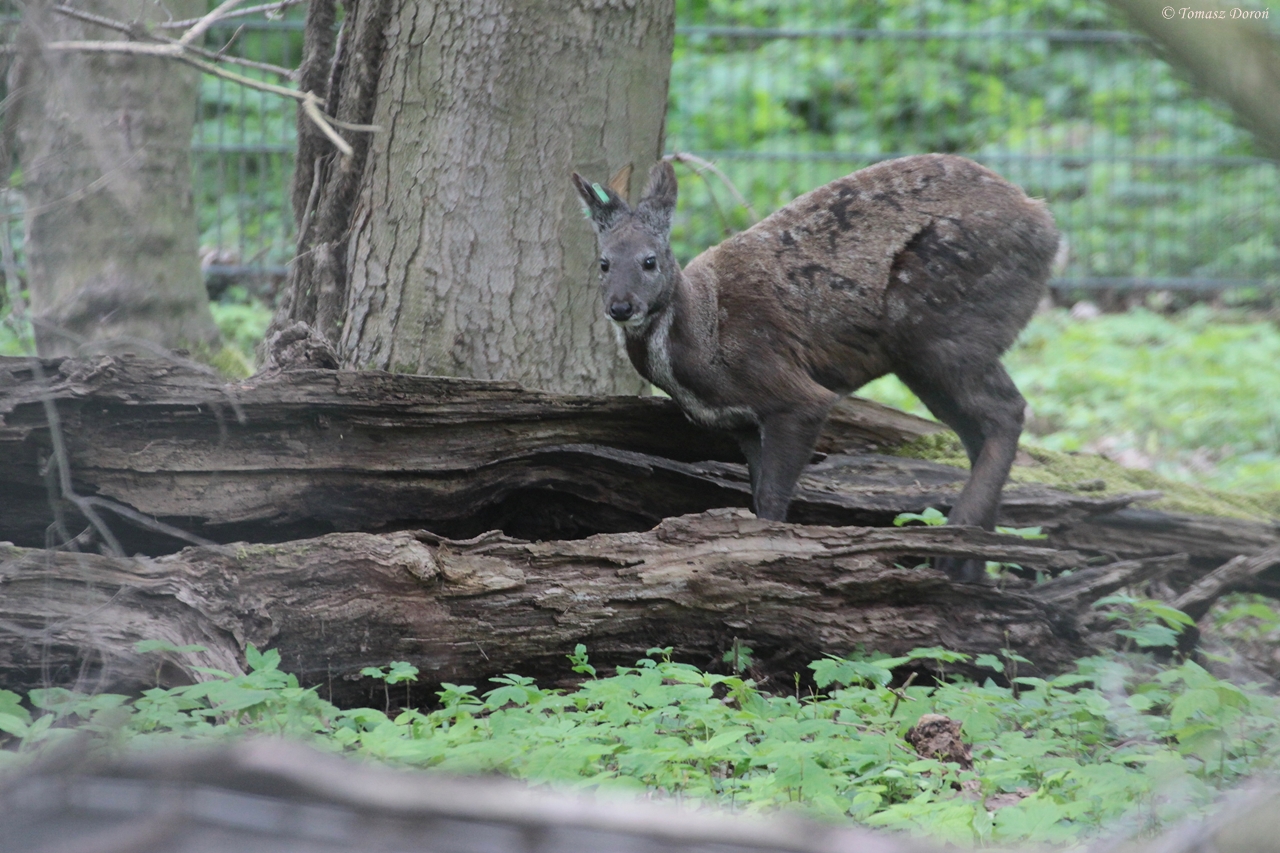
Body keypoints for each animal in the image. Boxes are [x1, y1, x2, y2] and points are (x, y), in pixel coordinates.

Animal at [571, 154, 1060, 582]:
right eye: (603, 262)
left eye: (650, 260)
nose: (621, 306)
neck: (705, 347)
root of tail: (1047, 223)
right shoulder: (742, 422)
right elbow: (756, 492)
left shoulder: (791, 392)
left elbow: (772, 497)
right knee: (980, 428)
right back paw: (975, 562)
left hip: (942, 330)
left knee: (1006, 411)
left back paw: (956, 549)